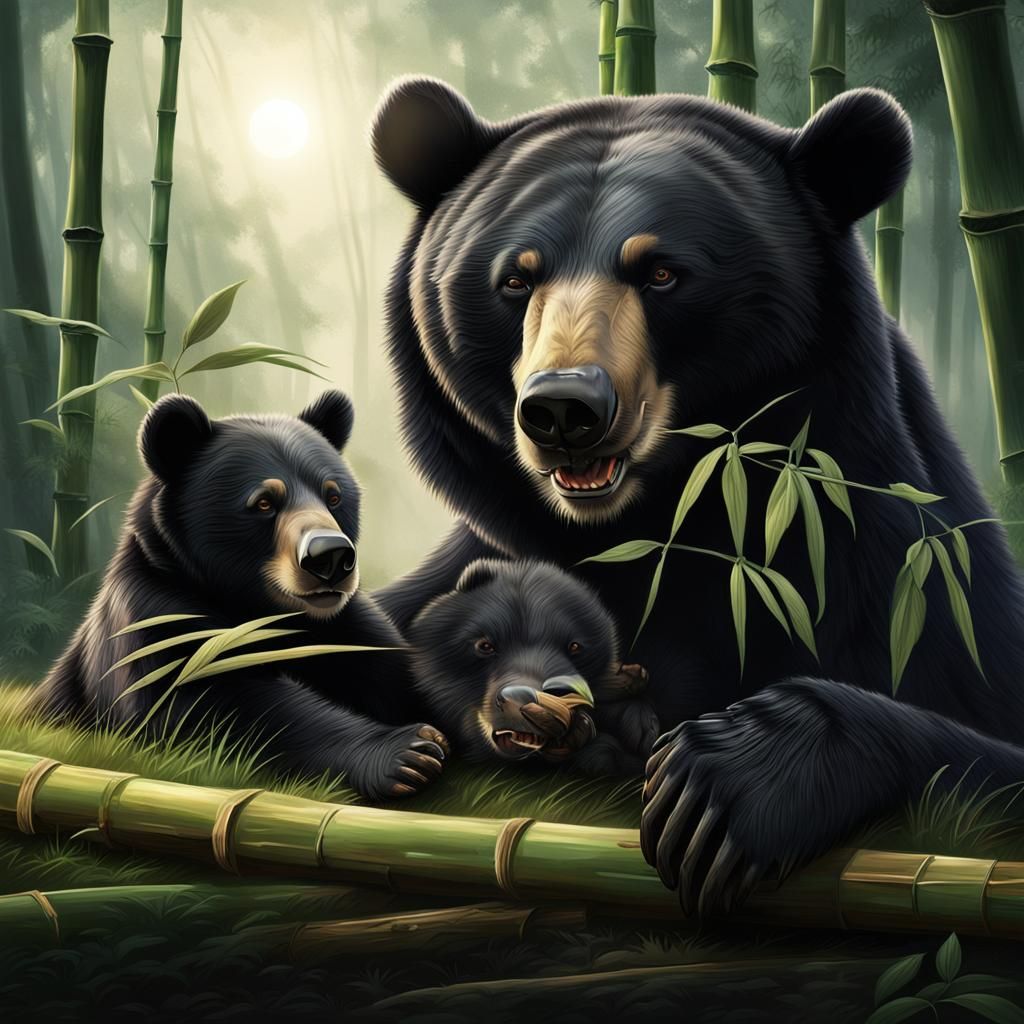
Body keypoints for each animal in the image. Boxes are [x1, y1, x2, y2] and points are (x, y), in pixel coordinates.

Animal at [34, 390, 449, 801]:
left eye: (333, 496)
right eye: (264, 502)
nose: (330, 556)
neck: (270, 611)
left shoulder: (350, 627)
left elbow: (395, 673)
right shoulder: (157, 616)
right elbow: (209, 705)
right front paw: (408, 752)